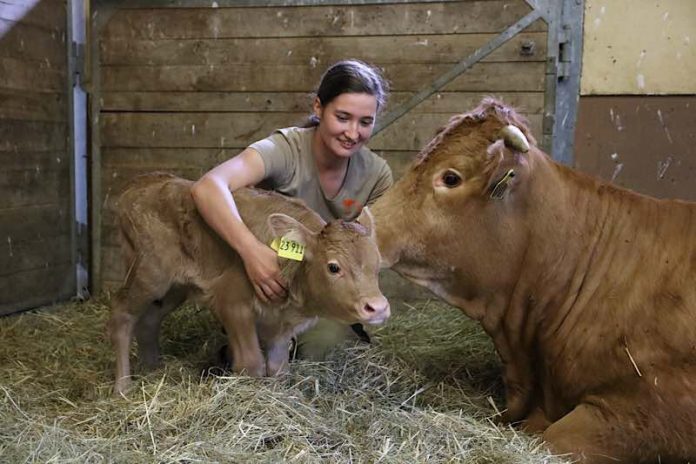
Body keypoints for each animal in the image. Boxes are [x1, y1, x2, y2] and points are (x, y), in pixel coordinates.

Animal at [111, 172, 388, 396]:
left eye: (377, 263)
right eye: (333, 267)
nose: (378, 307)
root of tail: (142, 183)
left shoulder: (282, 324)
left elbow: (277, 368)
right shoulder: (231, 302)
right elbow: (251, 363)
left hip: (174, 288)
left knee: (149, 320)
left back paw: (152, 369)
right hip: (149, 274)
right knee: (122, 314)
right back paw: (123, 386)